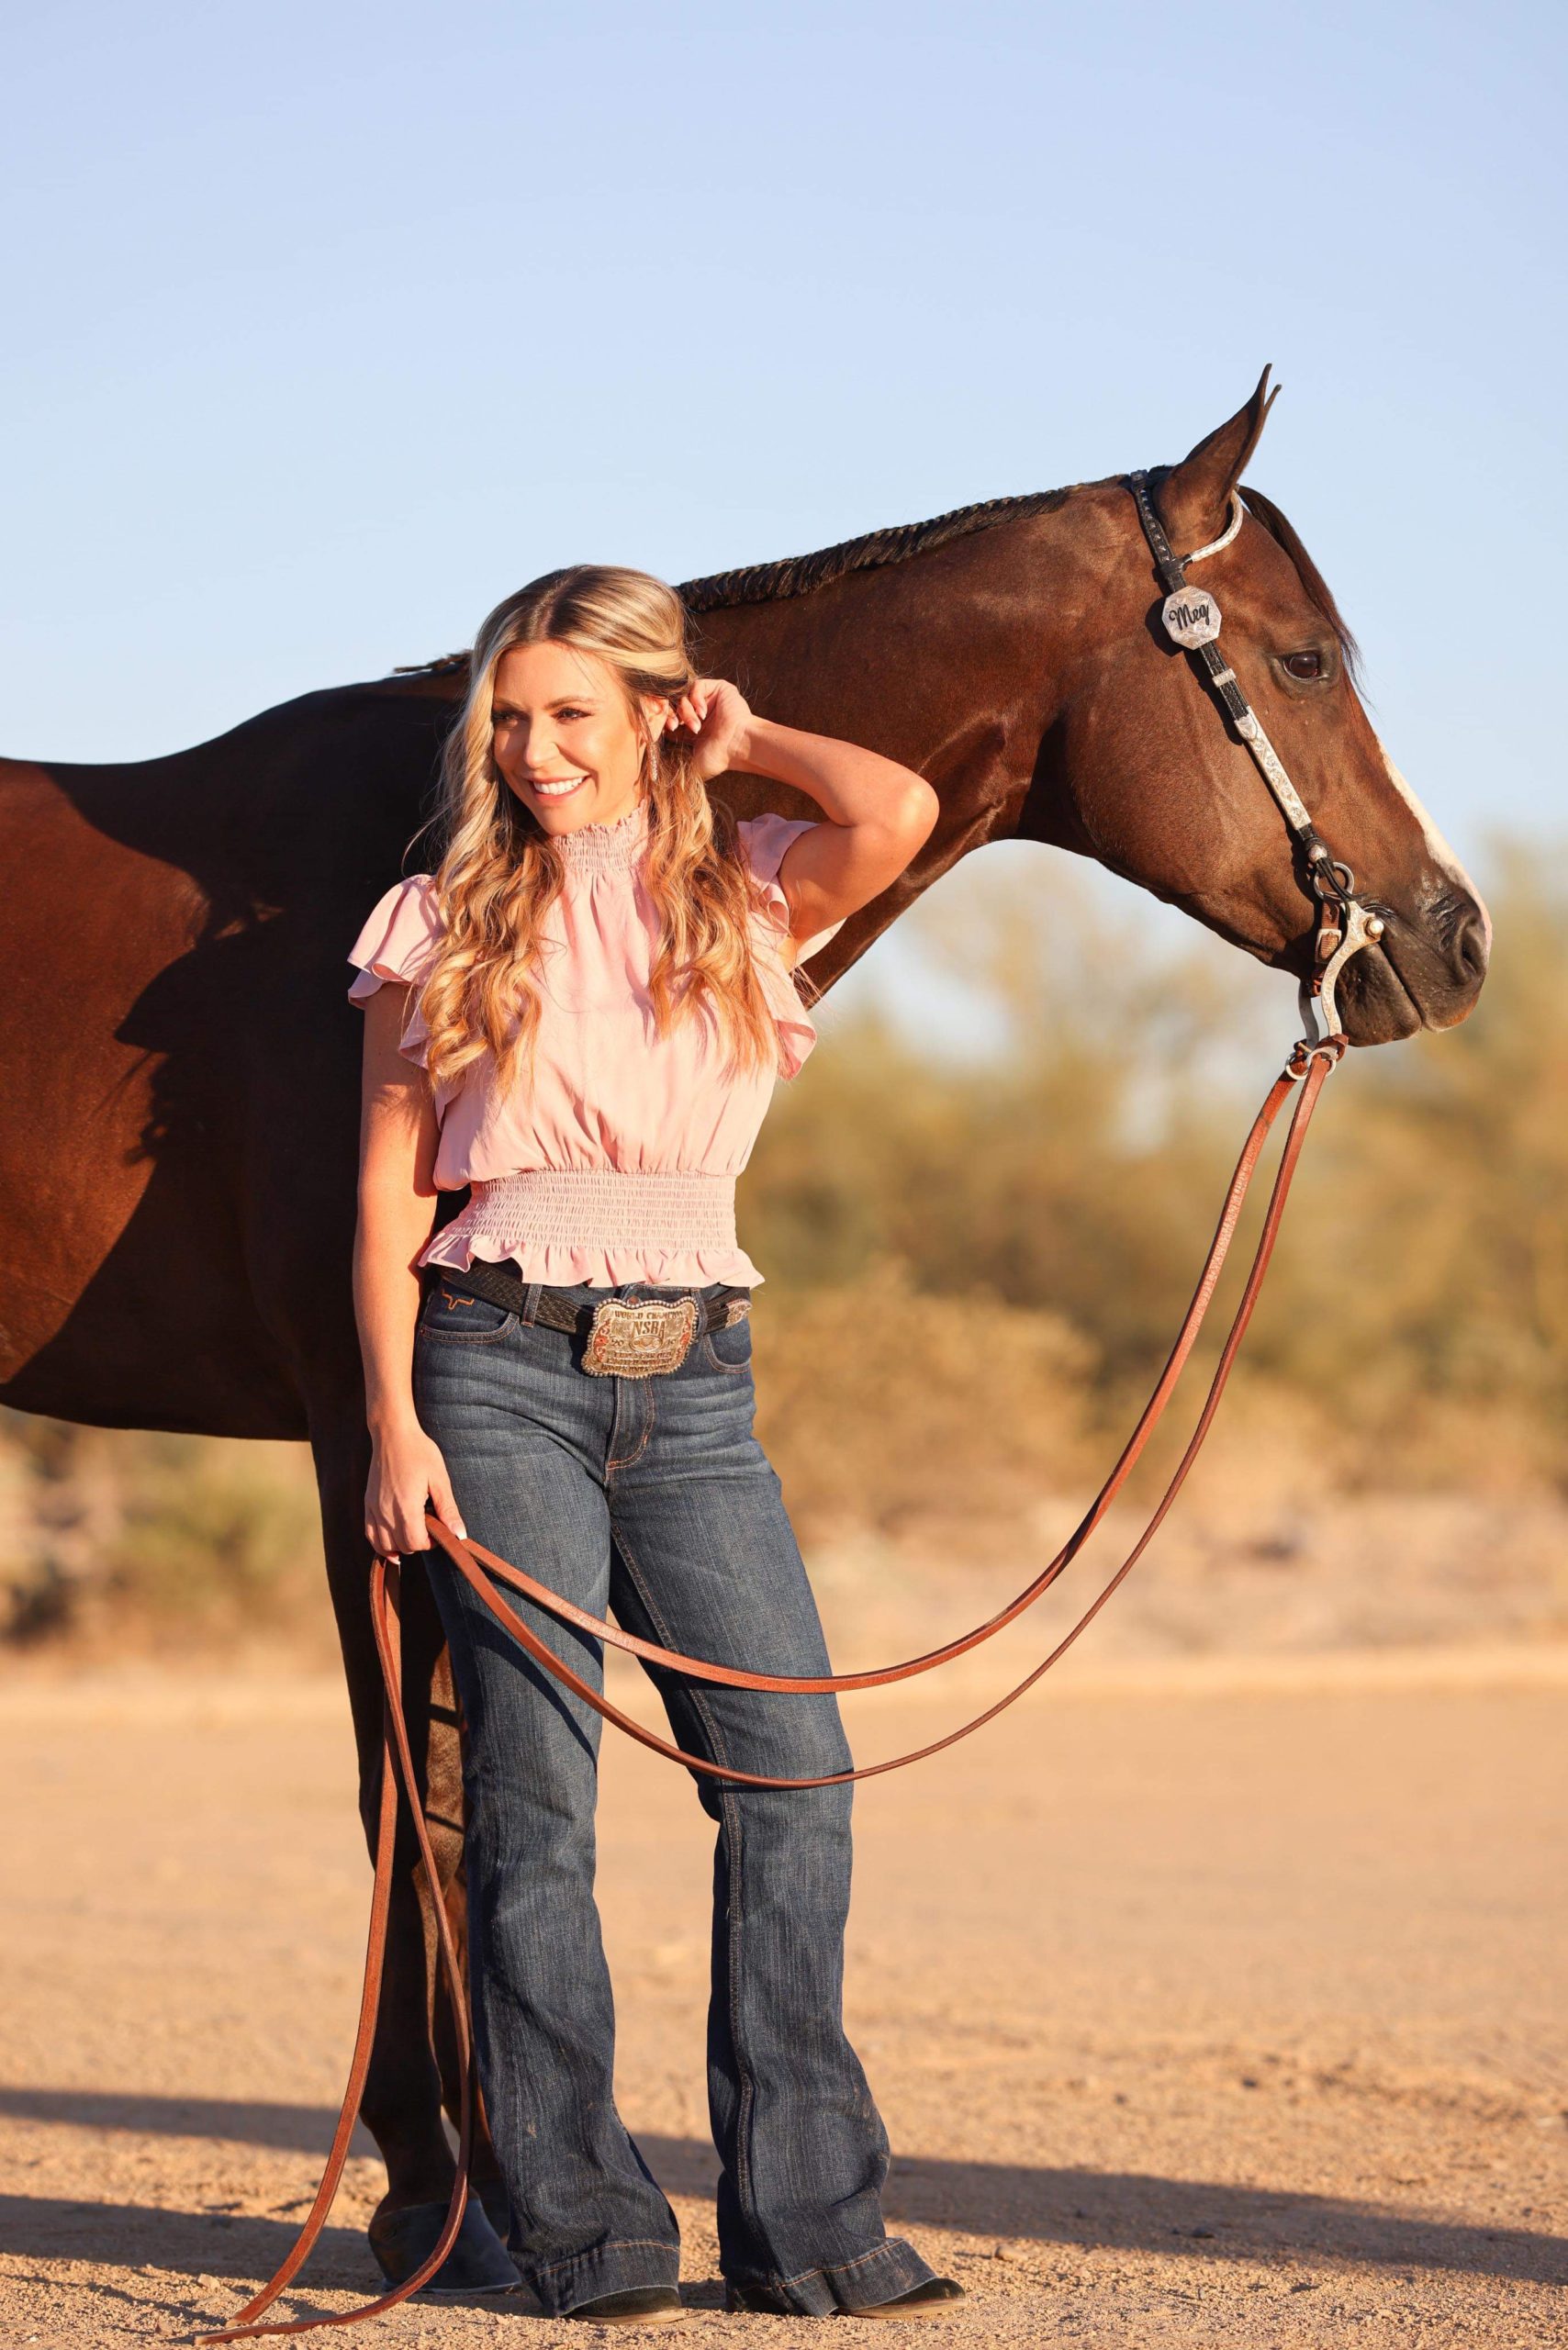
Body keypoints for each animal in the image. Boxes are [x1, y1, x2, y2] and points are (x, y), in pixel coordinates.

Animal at [0, 375, 1495, 2284]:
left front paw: (483, 2200)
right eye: (1299, 660)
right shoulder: (368, 1436)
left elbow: (453, 1790)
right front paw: (439, 2201)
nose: (1453, 942)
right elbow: (421, 1796)